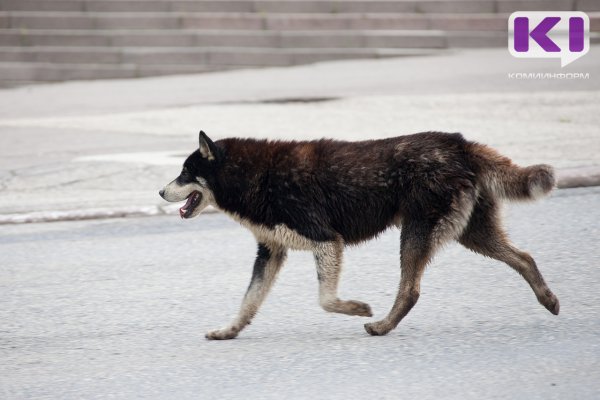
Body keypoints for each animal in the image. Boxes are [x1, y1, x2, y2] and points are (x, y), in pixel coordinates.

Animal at [158, 130, 556, 340]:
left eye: (185, 173)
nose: (160, 192)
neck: (257, 176)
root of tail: (459, 143)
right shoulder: (271, 253)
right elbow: (249, 301)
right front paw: (229, 330)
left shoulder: (325, 241)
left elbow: (325, 300)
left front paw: (356, 308)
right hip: (473, 234)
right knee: (525, 258)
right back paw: (548, 299)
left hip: (417, 234)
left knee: (410, 291)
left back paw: (381, 325)